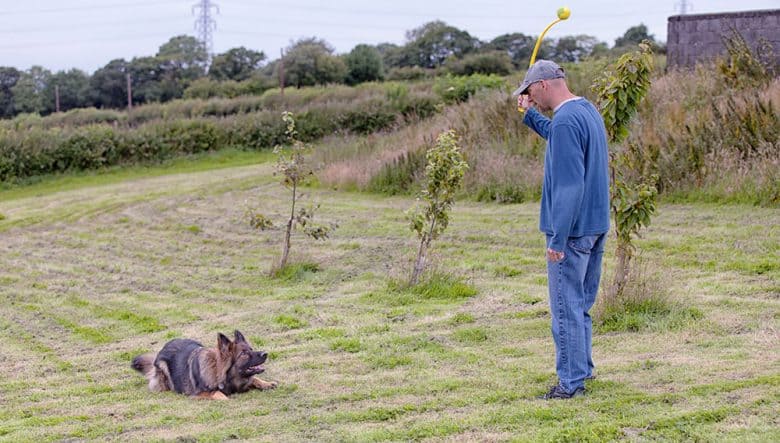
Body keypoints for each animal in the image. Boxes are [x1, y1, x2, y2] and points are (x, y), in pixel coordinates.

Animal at [133, 332, 278, 400]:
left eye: (251, 349)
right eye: (244, 354)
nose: (265, 354)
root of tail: (163, 348)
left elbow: (255, 378)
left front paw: (266, 383)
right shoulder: (198, 394)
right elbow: (217, 393)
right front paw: (225, 397)